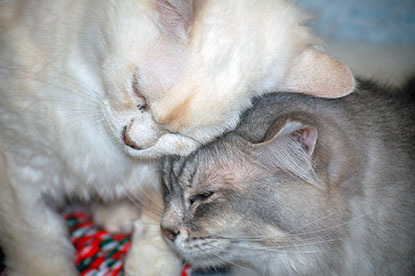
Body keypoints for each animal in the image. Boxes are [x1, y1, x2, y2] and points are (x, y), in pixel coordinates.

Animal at [0, 1, 356, 274]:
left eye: (180, 135)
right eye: (138, 93)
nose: (132, 142)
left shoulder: (158, 180)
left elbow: (158, 232)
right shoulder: (20, 174)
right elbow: (40, 247)